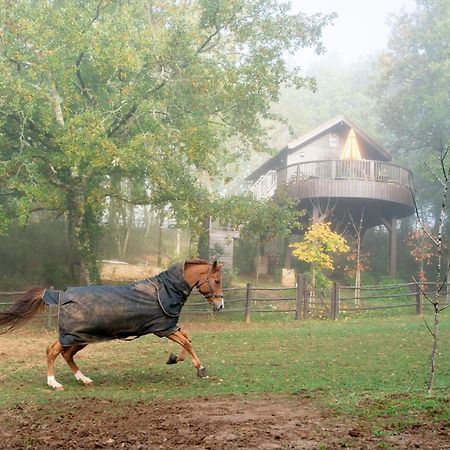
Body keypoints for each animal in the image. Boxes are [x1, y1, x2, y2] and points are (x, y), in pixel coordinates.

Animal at [0, 260, 224, 390]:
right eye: (217, 281)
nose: (220, 305)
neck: (166, 290)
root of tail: (60, 294)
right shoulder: (163, 329)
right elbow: (186, 342)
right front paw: (200, 368)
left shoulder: (169, 327)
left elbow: (188, 339)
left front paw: (175, 358)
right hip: (72, 335)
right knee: (52, 351)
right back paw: (54, 383)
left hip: (81, 338)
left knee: (66, 354)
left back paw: (83, 379)